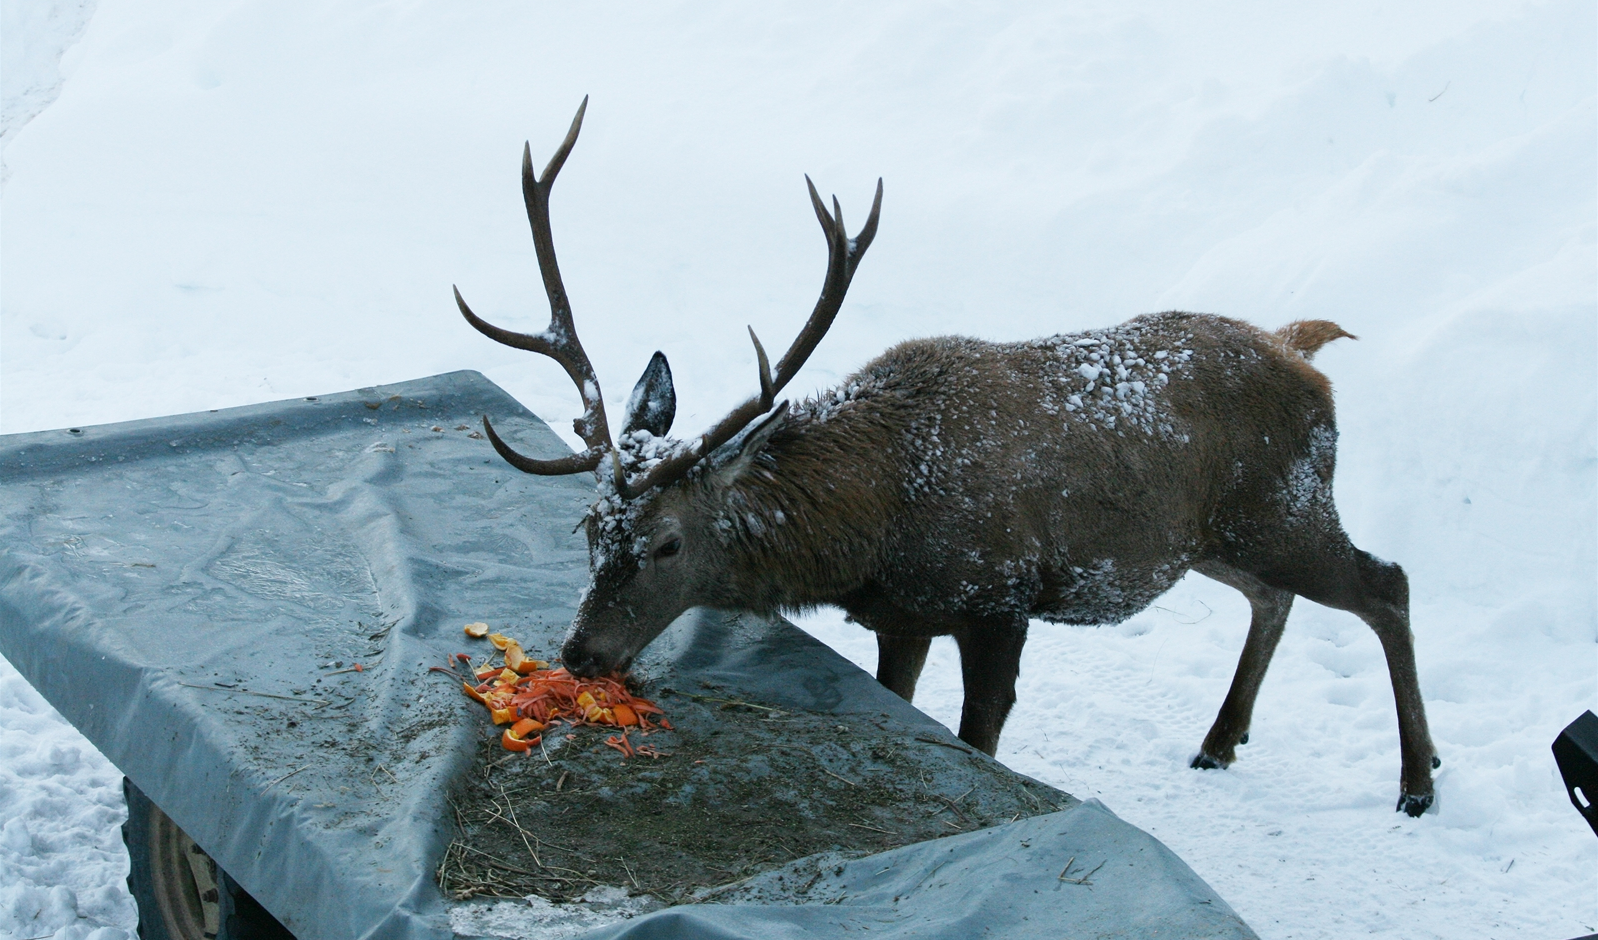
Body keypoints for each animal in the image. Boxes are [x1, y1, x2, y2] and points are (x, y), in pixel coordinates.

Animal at [454, 99, 1440, 816]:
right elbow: (907, 702)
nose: (581, 653)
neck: (876, 527)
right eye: (588, 529)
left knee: (1385, 582)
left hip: (1286, 505)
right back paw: (1219, 740)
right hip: (1214, 537)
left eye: (666, 543)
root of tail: (1304, 353)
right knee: (1275, 597)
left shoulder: (999, 598)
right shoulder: (904, 616)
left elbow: (980, 738)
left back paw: (1417, 781)